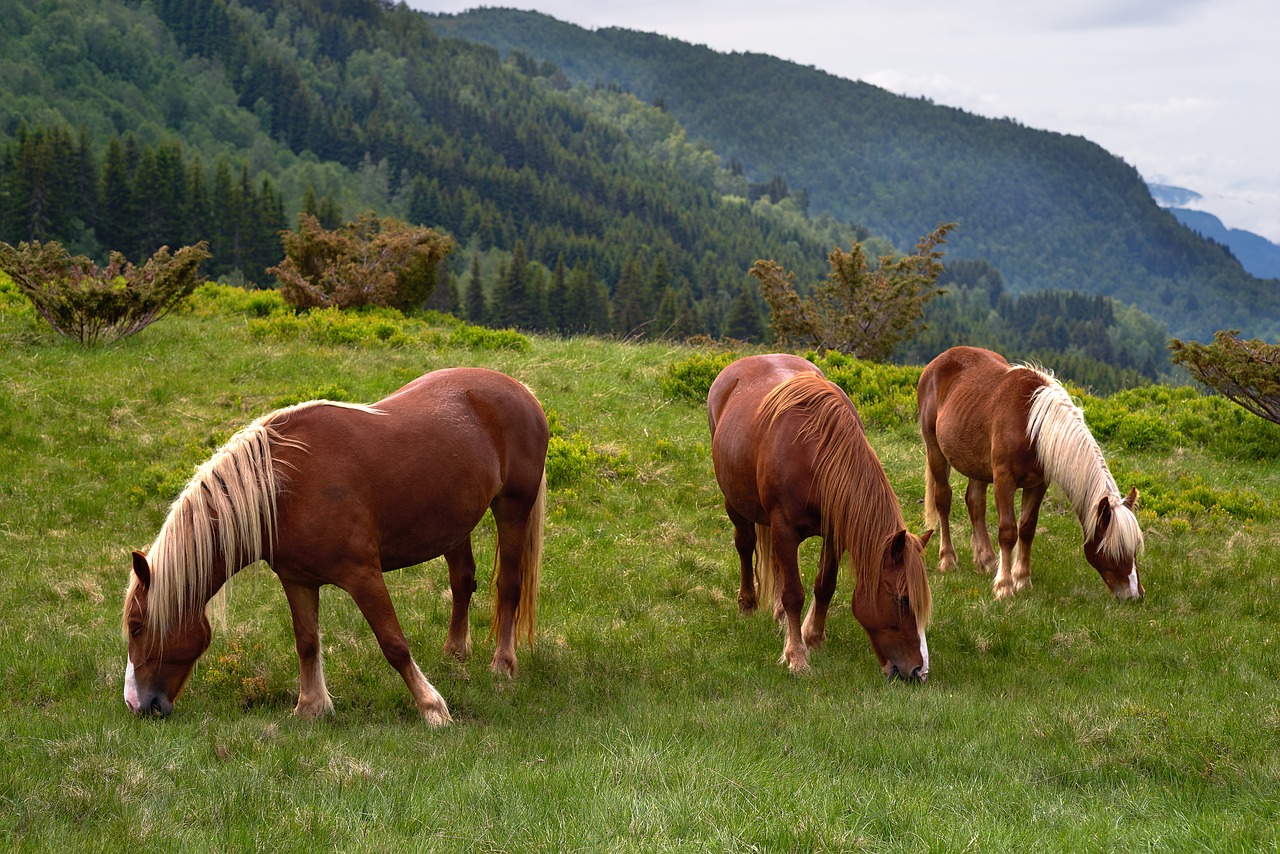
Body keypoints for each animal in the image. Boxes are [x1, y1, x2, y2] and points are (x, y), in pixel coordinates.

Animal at [122, 363, 552, 727]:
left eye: (137, 626)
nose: (137, 705)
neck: (281, 489)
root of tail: (520, 390)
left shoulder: (364, 575)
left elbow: (393, 643)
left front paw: (432, 709)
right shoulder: (297, 580)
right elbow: (307, 642)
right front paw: (310, 707)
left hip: (513, 508)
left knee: (508, 586)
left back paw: (502, 666)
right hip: (455, 523)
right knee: (462, 581)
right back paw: (455, 655)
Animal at [706, 353, 936, 681]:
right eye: (902, 599)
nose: (919, 670)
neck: (814, 456)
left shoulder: (834, 531)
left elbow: (824, 585)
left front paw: (812, 637)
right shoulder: (784, 529)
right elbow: (793, 593)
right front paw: (796, 657)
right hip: (734, 503)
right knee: (745, 545)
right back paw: (747, 605)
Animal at [916, 345, 1146, 601]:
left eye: (1135, 548)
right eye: (1114, 549)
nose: (1135, 595)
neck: (1031, 427)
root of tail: (938, 361)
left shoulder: (1038, 484)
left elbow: (1027, 529)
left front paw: (1022, 580)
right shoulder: (1003, 480)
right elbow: (1008, 531)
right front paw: (1004, 587)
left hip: (975, 464)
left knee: (975, 503)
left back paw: (987, 561)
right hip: (935, 451)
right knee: (943, 500)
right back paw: (948, 560)